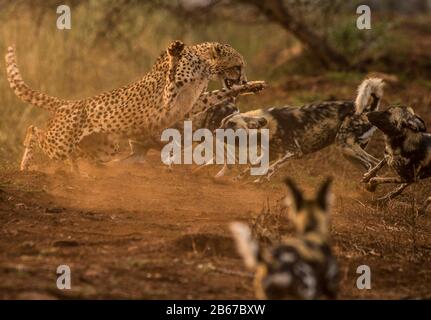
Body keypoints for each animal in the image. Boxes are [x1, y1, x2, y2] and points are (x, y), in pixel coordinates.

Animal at [5, 41, 264, 174]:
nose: (243, 77)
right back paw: (25, 162)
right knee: (34, 131)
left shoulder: (190, 106)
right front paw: (174, 51)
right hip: (61, 142)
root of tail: (71, 102)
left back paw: (80, 170)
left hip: (105, 147)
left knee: (77, 153)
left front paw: (253, 86)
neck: (204, 66)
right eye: (238, 66)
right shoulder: (167, 100)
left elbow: (220, 94)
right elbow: (172, 71)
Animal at [219, 78, 384, 182]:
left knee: (374, 163)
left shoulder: (293, 153)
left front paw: (260, 181)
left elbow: (271, 169)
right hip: (348, 152)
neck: (267, 125)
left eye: (231, 125)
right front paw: (236, 180)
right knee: (372, 165)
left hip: (344, 145)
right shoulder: (272, 153)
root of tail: (368, 110)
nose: (215, 132)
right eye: (222, 123)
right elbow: (250, 167)